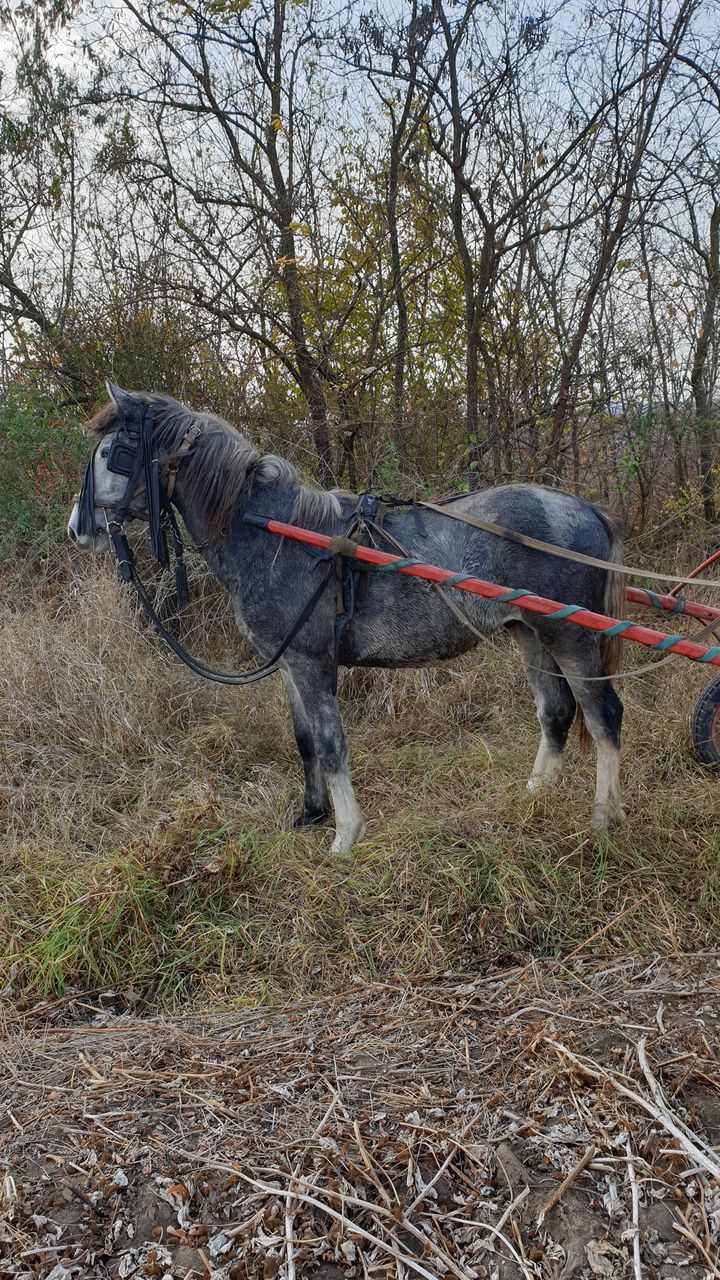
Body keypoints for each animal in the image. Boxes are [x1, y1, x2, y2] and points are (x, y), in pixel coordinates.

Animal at [67, 384, 622, 855]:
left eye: (108, 454)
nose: (77, 529)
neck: (275, 533)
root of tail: (587, 509)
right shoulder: (289, 663)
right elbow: (305, 741)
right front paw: (311, 813)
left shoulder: (313, 661)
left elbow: (332, 744)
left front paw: (345, 834)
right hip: (530, 633)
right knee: (555, 712)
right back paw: (534, 794)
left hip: (569, 635)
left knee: (603, 715)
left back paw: (603, 817)